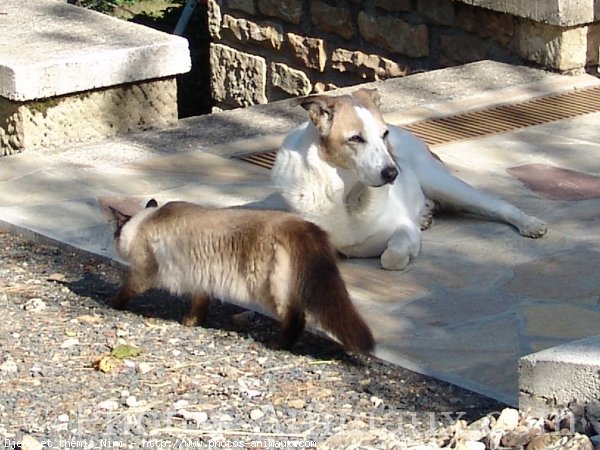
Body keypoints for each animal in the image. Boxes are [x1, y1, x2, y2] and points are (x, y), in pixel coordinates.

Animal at [272, 89, 548, 268]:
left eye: (383, 135)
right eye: (355, 138)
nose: (393, 173)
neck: (346, 195)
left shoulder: (403, 229)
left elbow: (391, 256)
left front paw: (405, 254)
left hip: (445, 184)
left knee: (500, 205)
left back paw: (530, 223)